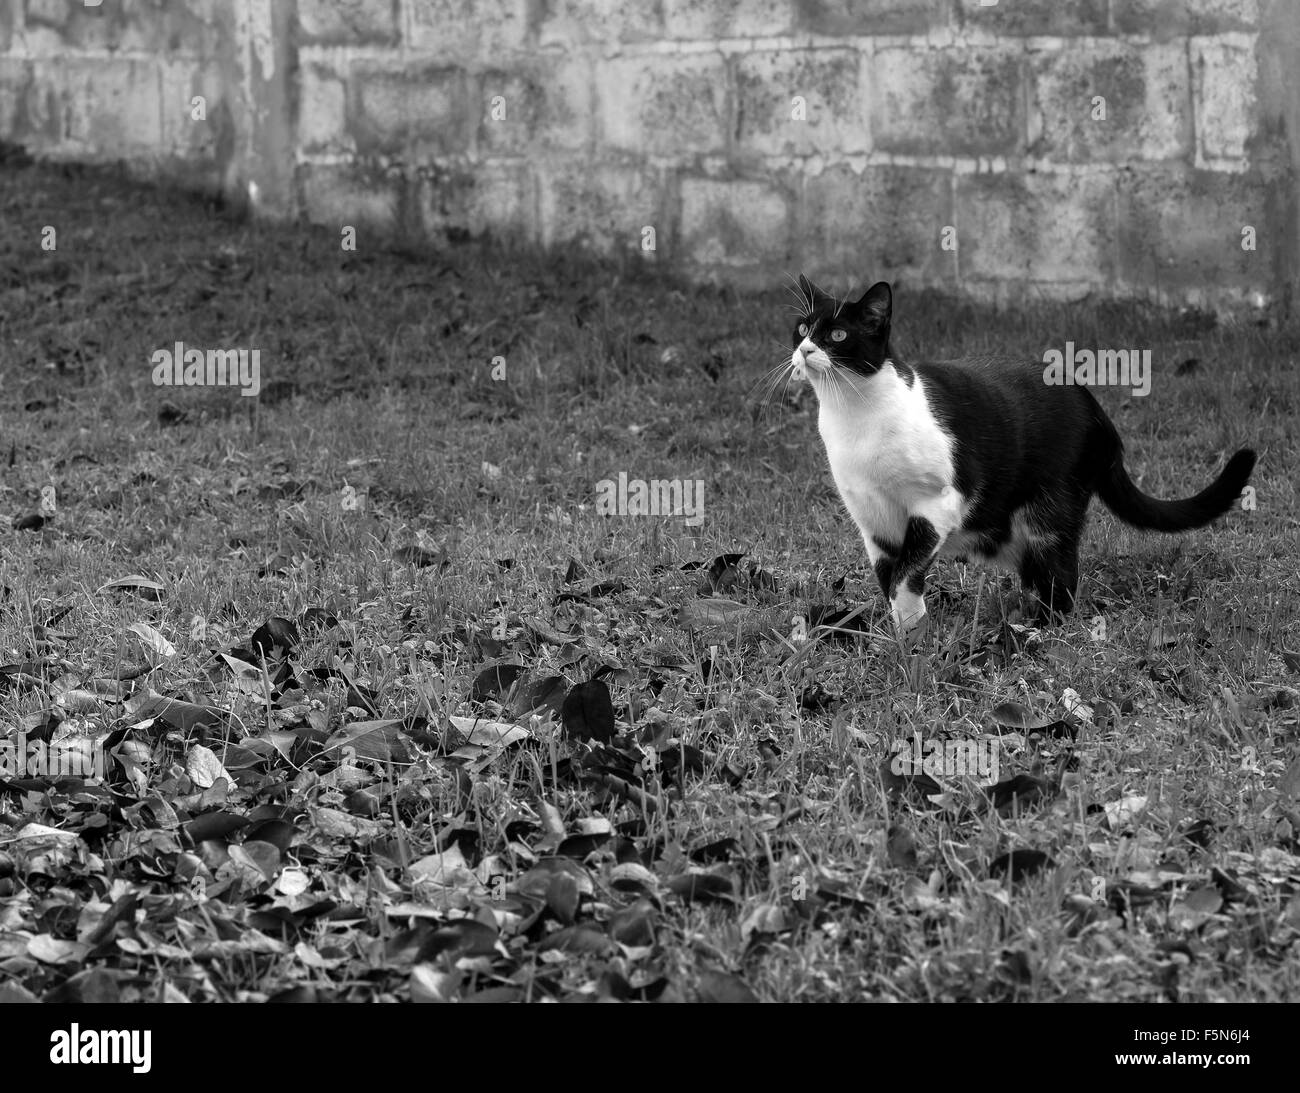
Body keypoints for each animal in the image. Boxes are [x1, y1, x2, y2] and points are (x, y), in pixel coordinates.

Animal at [785, 275, 1253, 631]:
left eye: (838, 334)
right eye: (803, 328)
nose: (805, 349)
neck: (853, 415)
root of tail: (1098, 413)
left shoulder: (938, 503)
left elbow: (905, 574)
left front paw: (914, 634)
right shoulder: (873, 521)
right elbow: (889, 577)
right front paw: (901, 636)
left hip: (1049, 509)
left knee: (1061, 576)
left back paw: (1039, 630)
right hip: (1003, 529)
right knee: (1033, 568)